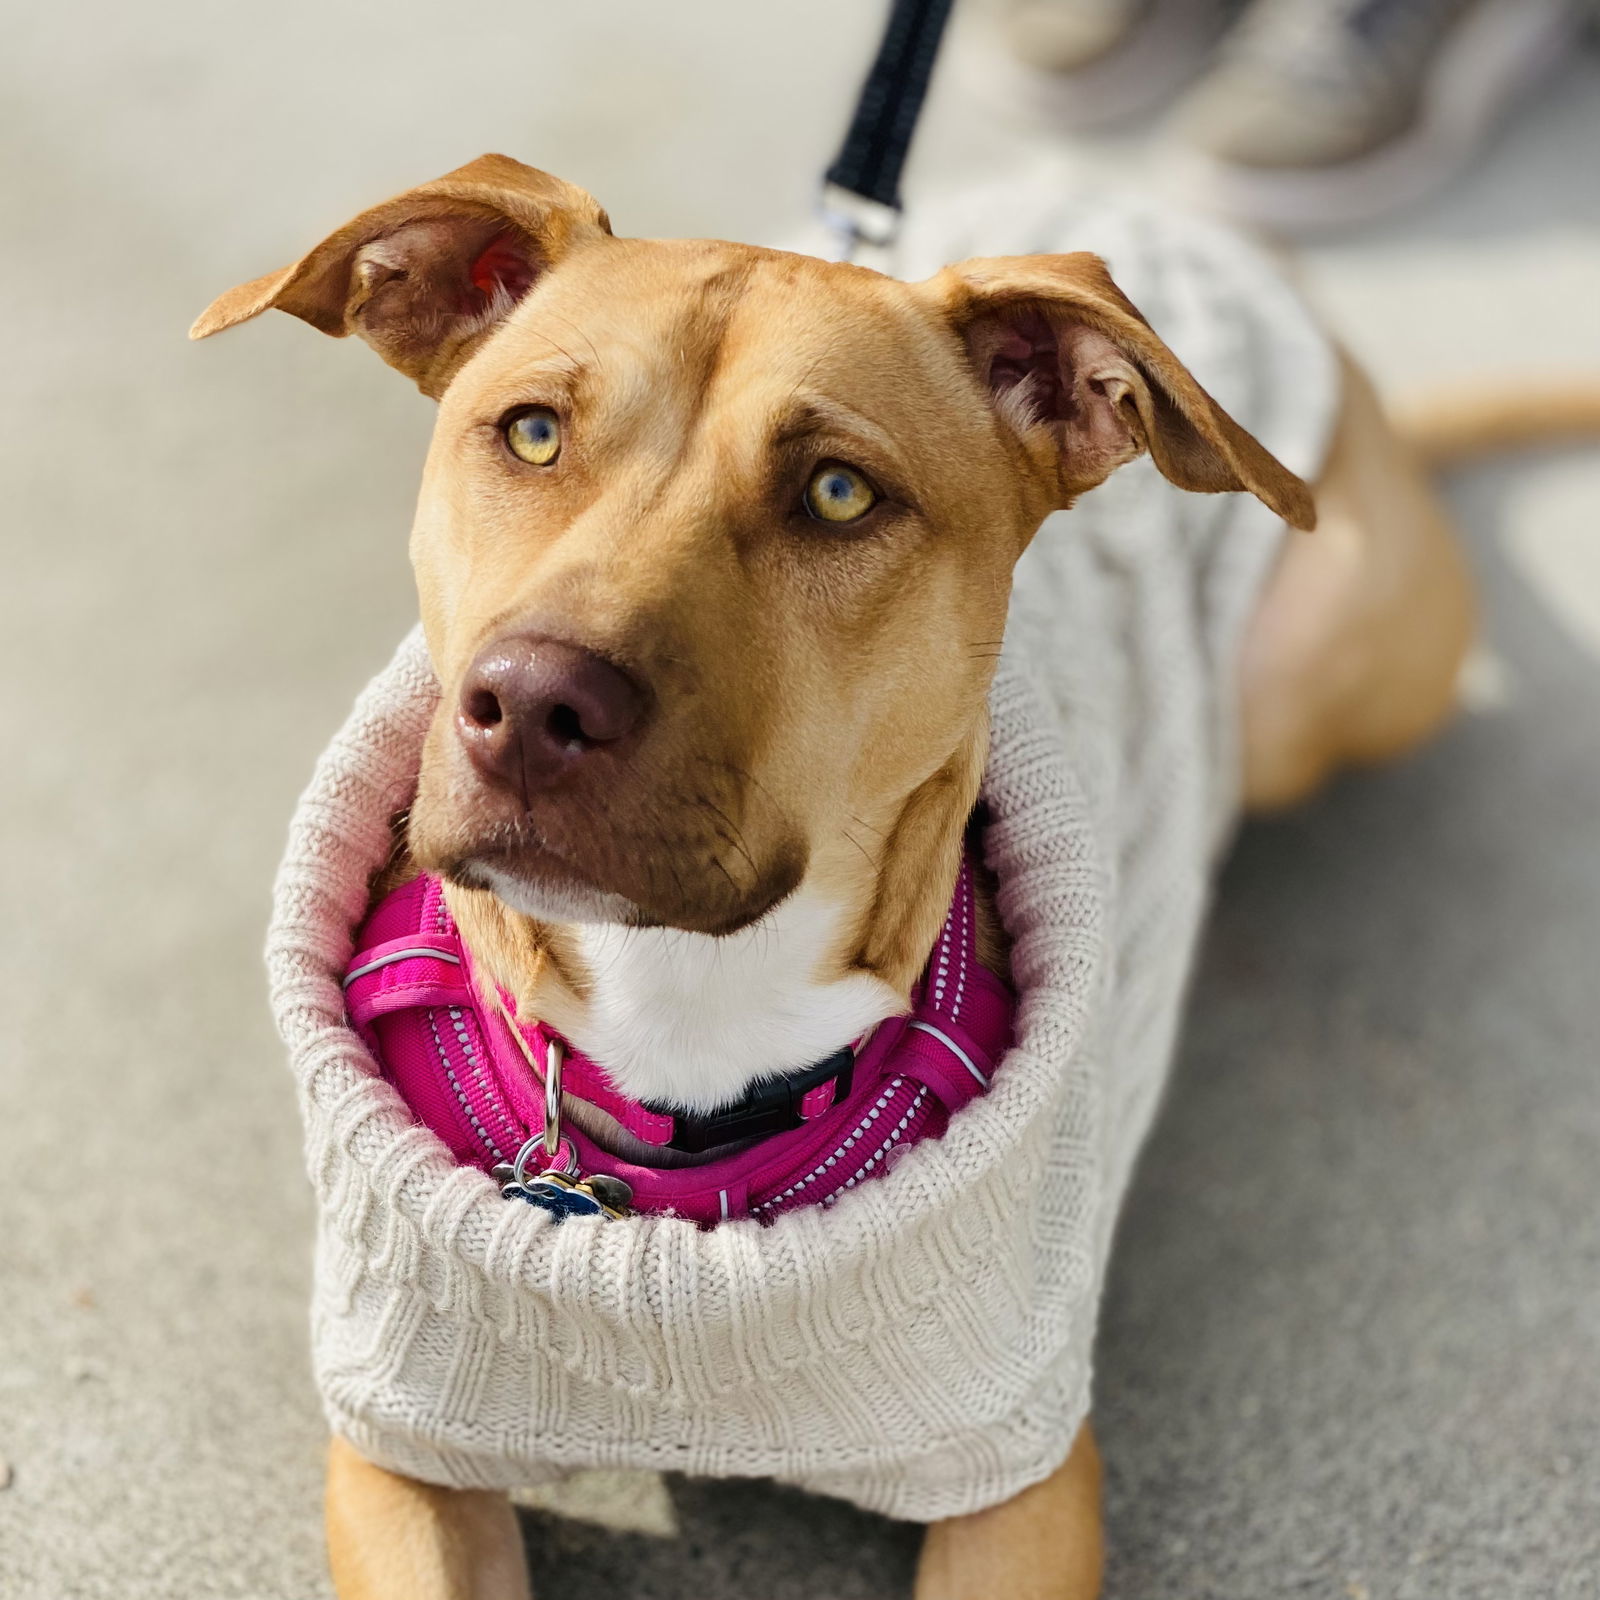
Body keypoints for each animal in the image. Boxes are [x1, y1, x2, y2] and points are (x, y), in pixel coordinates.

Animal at [196, 152, 1484, 1600]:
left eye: (837, 494)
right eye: (529, 434)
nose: (529, 703)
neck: (689, 1018)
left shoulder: (1024, 1474)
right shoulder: (397, 1448)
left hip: (1323, 671)